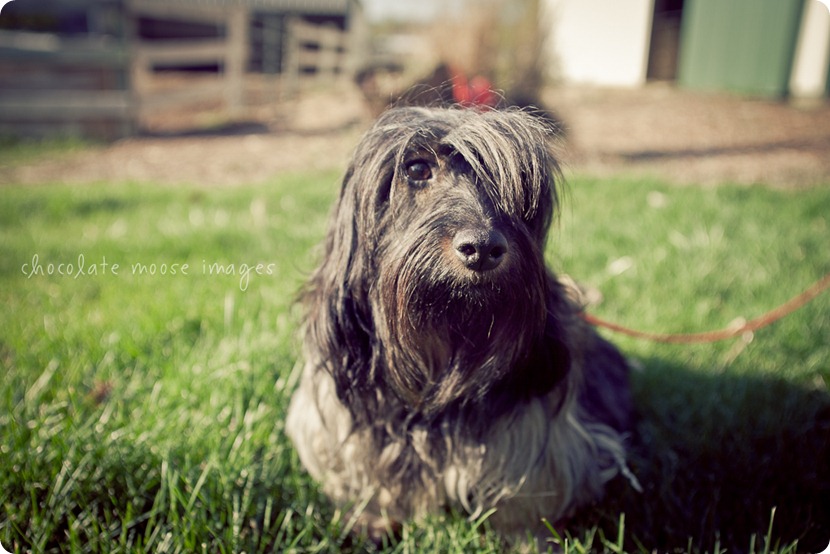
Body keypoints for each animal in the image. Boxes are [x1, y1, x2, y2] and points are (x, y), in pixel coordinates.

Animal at [286, 105, 636, 536]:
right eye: (417, 168)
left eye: (517, 181)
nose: (482, 248)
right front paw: (373, 519)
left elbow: (525, 490)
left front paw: (526, 536)